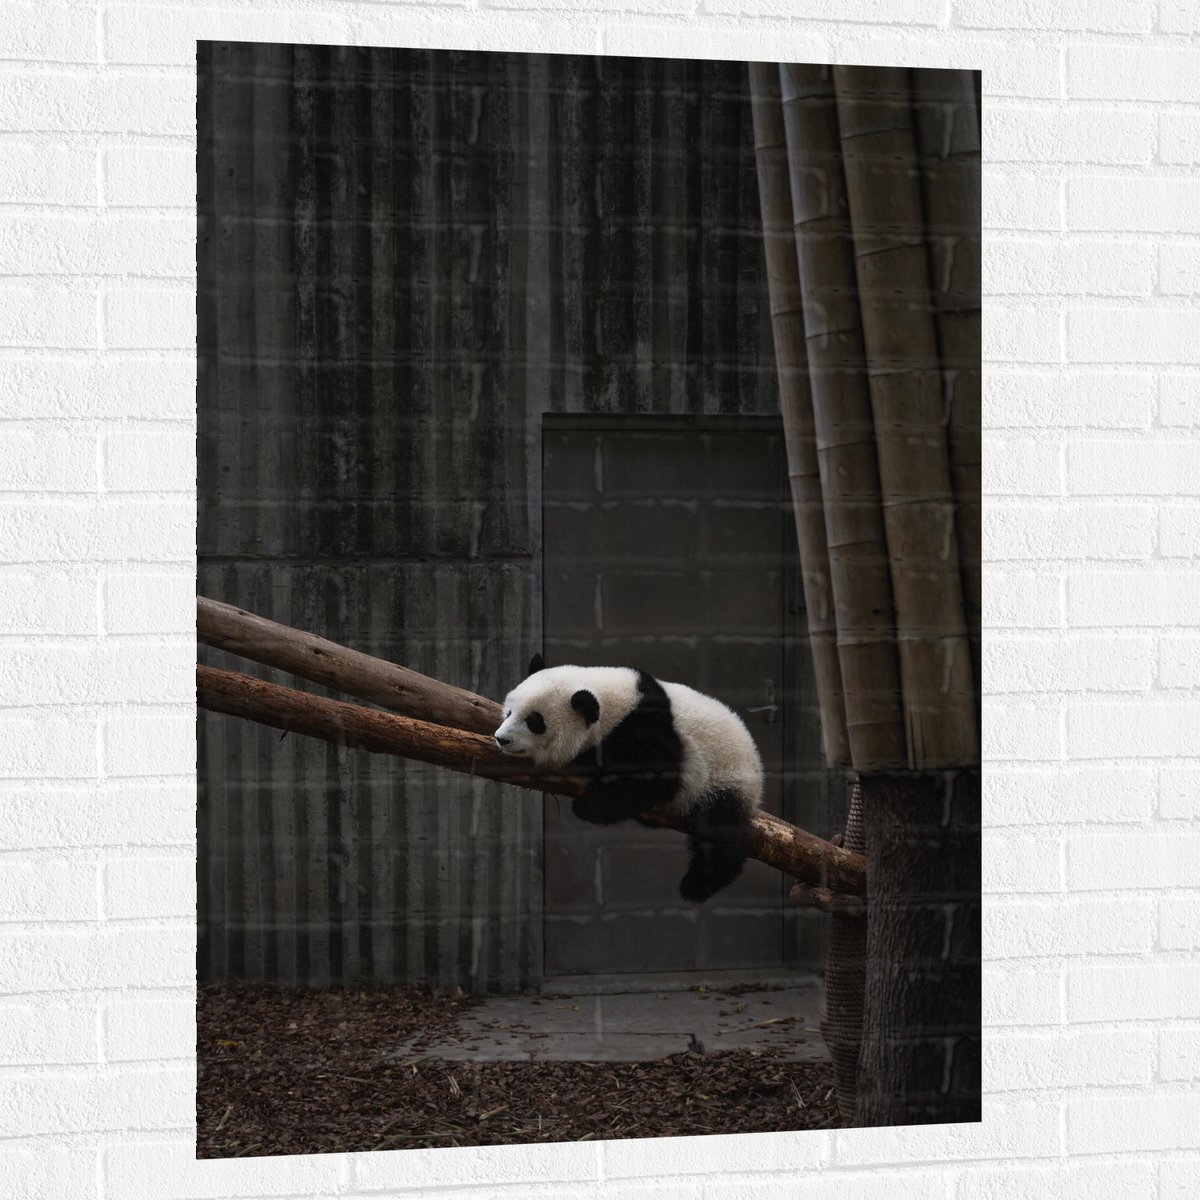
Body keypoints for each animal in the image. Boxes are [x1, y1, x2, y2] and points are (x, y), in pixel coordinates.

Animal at [493, 655, 763, 903]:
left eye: (535, 721)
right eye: (509, 712)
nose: (501, 739)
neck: (616, 705)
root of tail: (756, 765)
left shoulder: (648, 731)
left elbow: (657, 780)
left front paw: (587, 804)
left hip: (725, 778)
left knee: (720, 832)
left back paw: (697, 885)